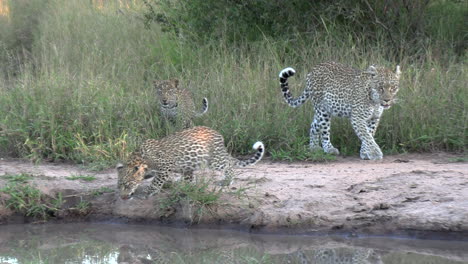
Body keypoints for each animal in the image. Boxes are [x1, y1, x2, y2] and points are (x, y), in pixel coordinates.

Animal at [116, 125, 264, 198]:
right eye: (119, 185)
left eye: (127, 184)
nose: (123, 197)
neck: (141, 159)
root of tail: (218, 134)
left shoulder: (165, 166)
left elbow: (156, 181)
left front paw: (149, 192)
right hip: (190, 165)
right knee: (189, 178)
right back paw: (186, 188)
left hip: (214, 160)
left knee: (229, 166)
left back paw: (227, 181)